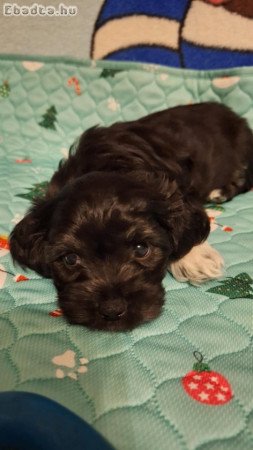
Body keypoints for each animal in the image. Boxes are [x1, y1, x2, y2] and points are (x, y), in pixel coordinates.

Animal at [9, 103, 253, 332]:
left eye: (141, 249)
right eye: (70, 259)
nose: (112, 311)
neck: (107, 164)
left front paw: (196, 258)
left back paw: (221, 192)